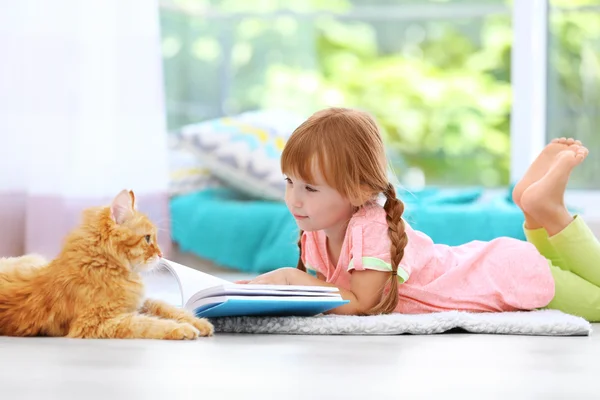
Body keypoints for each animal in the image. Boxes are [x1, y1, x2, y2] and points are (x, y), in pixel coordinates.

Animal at [0, 189, 214, 340]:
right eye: (147, 238)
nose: (161, 254)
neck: (103, 264)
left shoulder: (138, 303)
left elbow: (166, 307)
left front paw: (199, 323)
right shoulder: (97, 322)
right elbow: (148, 324)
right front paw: (183, 328)